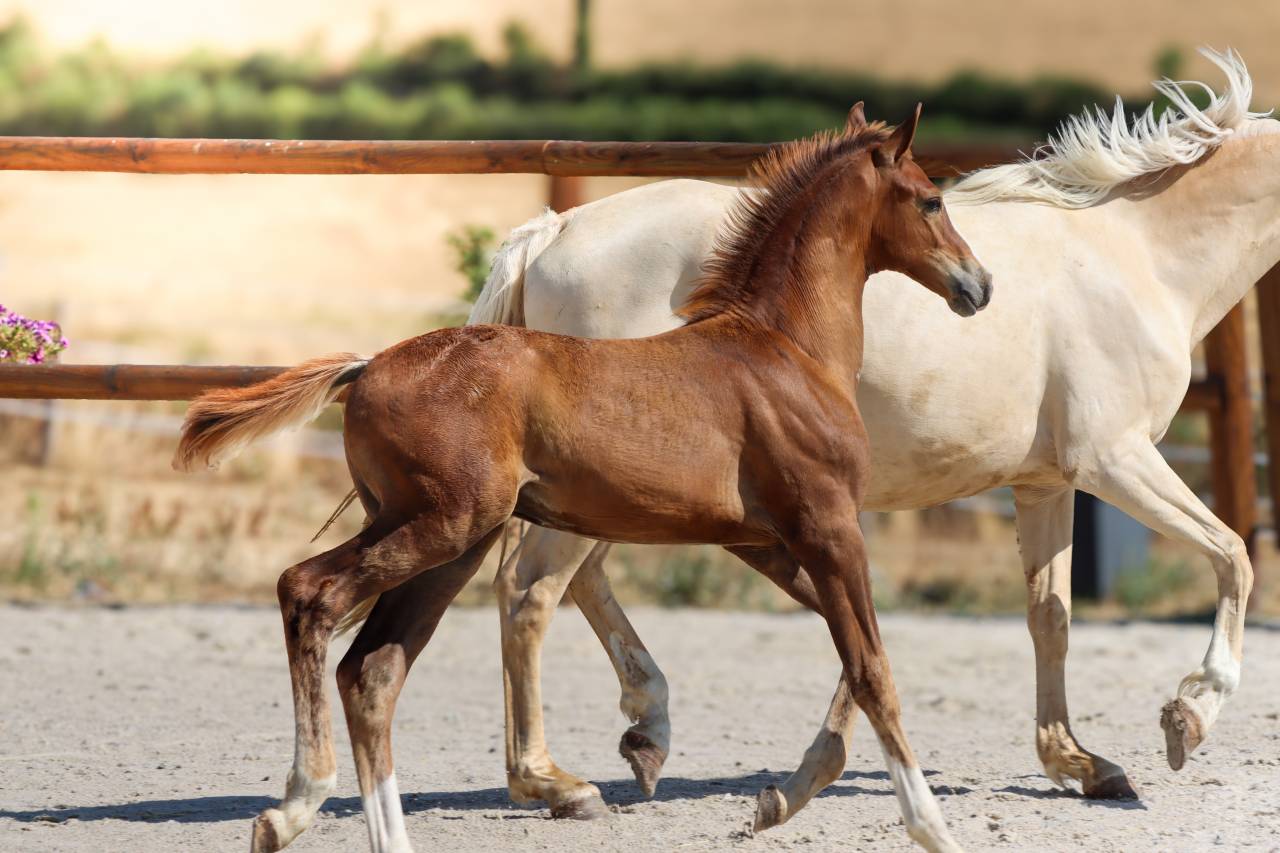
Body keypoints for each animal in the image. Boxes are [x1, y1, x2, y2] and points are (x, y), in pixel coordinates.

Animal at [174, 107, 991, 853]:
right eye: (931, 200)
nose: (978, 284)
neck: (784, 350)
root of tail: (366, 367)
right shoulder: (827, 525)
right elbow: (873, 667)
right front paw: (931, 827)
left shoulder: (764, 541)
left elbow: (856, 653)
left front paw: (776, 795)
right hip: (440, 527)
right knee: (309, 593)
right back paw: (300, 799)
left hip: (448, 544)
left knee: (374, 671)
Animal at [464, 48, 1269, 828]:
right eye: (930, 201)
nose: (980, 288)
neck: (1141, 256)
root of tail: (551, 234)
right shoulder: (1114, 458)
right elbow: (1233, 554)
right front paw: (1188, 717)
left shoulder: (1045, 481)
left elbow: (1050, 617)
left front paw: (1078, 761)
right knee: (534, 588)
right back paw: (557, 779)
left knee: (569, 581)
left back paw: (641, 735)